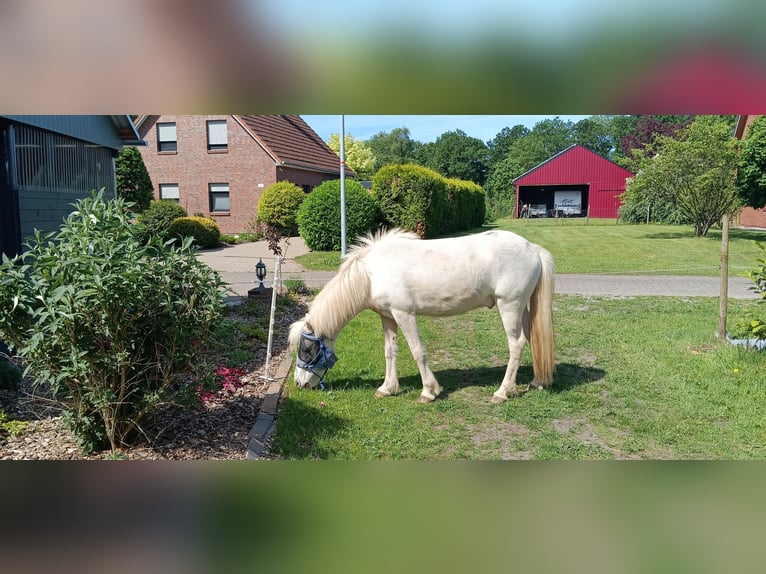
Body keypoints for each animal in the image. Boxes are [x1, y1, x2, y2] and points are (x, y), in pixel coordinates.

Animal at [288, 228, 555, 404]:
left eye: (307, 350)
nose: (300, 383)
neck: (372, 273)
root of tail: (532, 248)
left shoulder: (404, 314)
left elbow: (417, 351)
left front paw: (429, 392)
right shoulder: (388, 317)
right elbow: (390, 351)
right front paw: (387, 388)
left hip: (509, 305)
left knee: (516, 344)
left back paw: (502, 392)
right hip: (522, 307)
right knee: (531, 339)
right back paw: (536, 382)